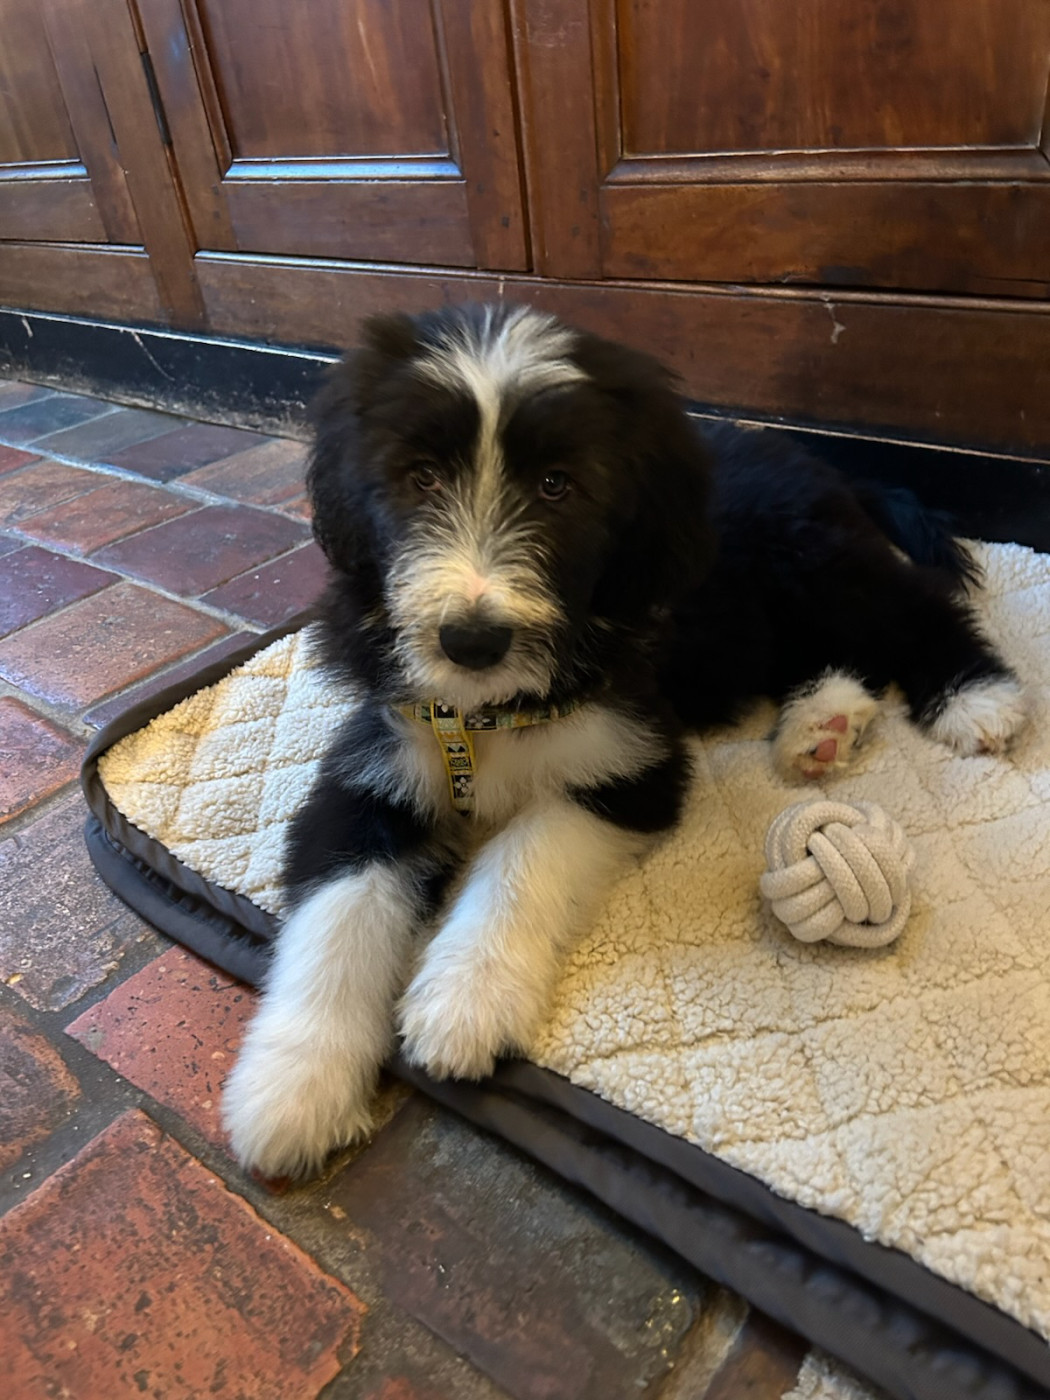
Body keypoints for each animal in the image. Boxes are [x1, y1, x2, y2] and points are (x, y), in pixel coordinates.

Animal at [223, 303, 1028, 1179]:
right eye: (421, 476)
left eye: (556, 484)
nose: (470, 641)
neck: (491, 711)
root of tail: (811, 459)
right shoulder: (376, 761)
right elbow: (336, 911)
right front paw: (293, 1088)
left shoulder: (629, 763)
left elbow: (523, 856)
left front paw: (465, 1001)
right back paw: (824, 724)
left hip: (813, 559)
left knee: (915, 609)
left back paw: (976, 697)